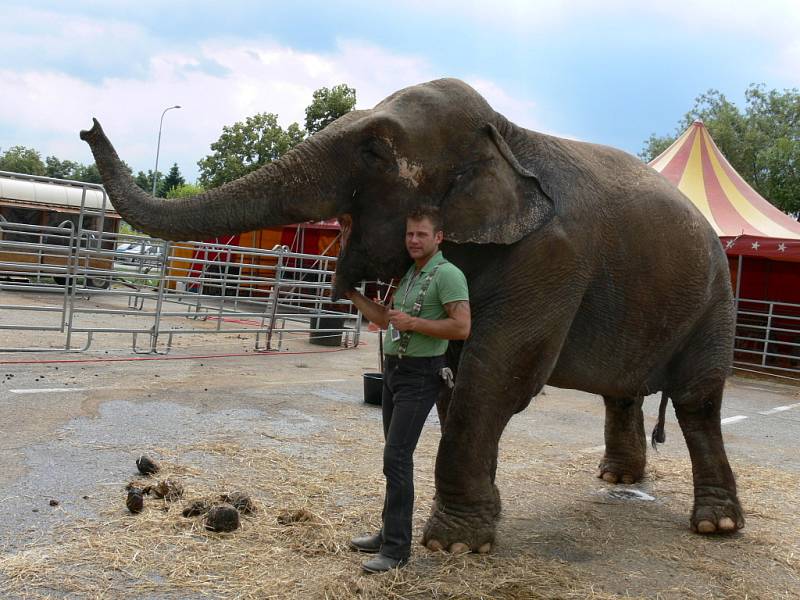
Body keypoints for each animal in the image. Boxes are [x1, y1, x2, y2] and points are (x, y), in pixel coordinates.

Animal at [81, 78, 744, 552]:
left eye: (374, 148)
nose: (88, 124)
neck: (508, 135)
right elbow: (455, 378)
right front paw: (477, 528)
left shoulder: (557, 258)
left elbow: (497, 376)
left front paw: (453, 545)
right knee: (623, 393)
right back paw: (617, 481)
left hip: (718, 300)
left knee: (697, 399)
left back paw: (714, 526)